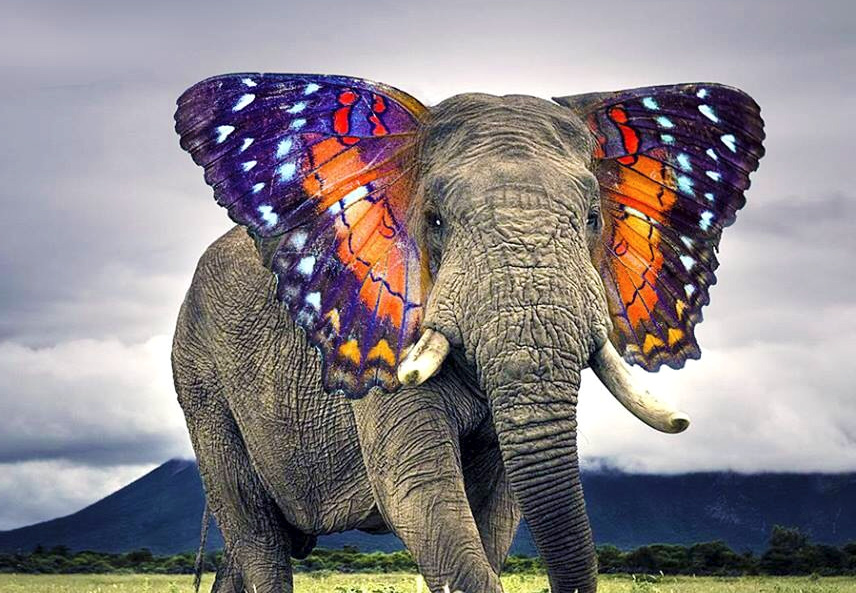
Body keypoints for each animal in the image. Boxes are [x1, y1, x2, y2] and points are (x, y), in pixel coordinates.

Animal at [172, 73, 764, 593]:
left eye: (594, 218)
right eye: (433, 220)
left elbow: (499, 512)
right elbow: (420, 495)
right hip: (201, 385)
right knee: (256, 535)